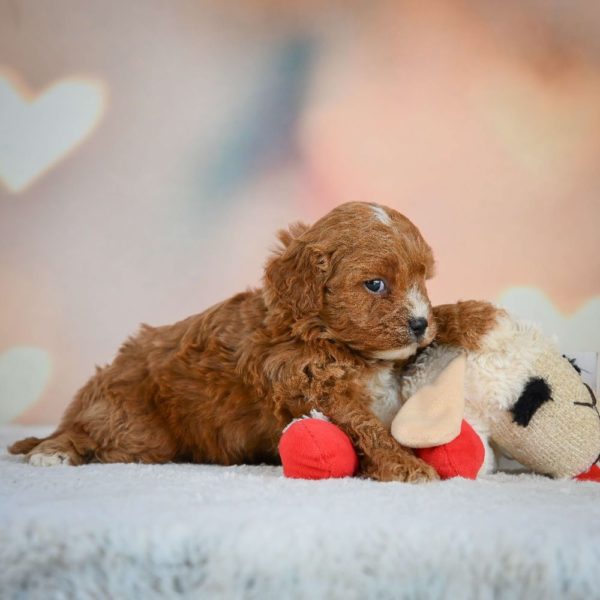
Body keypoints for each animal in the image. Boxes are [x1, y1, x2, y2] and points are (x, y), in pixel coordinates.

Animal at [9, 202, 496, 482]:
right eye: (375, 284)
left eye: (422, 280)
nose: (418, 323)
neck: (323, 335)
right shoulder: (310, 385)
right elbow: (367, 426)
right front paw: (406, 465)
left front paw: (475, 315)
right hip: (133, 426)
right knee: (86, 433)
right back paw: (52, 452)